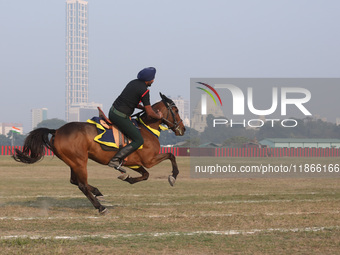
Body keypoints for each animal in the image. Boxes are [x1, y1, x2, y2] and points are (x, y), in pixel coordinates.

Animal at [13, 92, 185, 214]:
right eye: (176, 110)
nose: (182, 129)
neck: (147, 128)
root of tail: (57, 131)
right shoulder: (149, 160)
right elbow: (171, 156)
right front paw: (173, 177)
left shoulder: (134, 162)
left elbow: (145, 175)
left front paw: (127, 177)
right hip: (80, 162)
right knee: (81, 185)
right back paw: (100, 207)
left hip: (73, 162)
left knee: (74, 181)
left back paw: (97, 191)